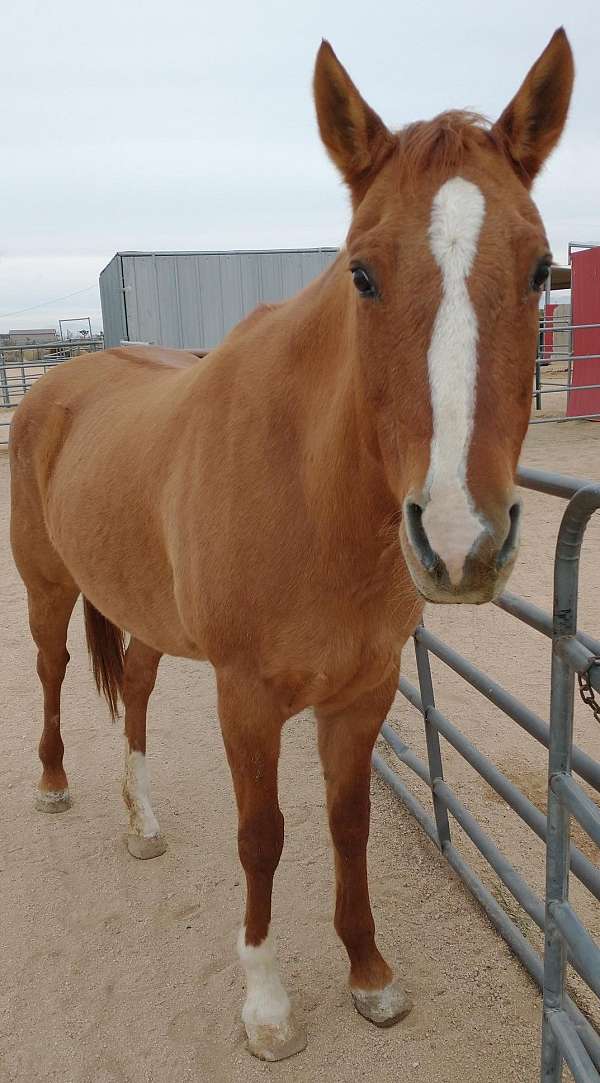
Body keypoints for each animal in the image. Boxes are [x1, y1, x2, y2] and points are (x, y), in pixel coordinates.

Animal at [9, 29, 571, 1061]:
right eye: (362, 271)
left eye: (542, 267)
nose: (461, 538)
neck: (312, 497)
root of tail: (61, 385)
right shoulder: (248, 697)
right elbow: (262, 835)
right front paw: (267, 1002)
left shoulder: (363, 692)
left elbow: (347, 824)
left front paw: (370, 972)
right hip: (46, 587)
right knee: (54, 667)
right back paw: (56, 782)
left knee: (135, 682)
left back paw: (141, 818)